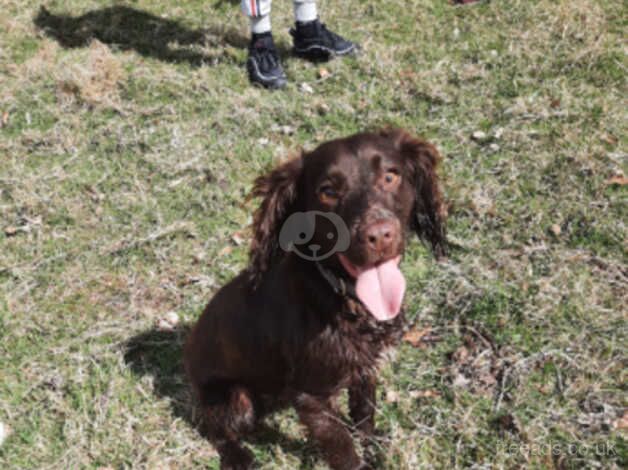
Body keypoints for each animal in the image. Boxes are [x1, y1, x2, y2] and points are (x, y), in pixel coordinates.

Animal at [183, 129, 446, 470]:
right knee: (216, 429)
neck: (343, 299)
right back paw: (241, 457)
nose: (379, 235)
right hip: (234, 399)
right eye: (328, 191)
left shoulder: (364, 369)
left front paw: (374, 449)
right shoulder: (312, 397)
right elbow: (342, 447)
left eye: (390, 176)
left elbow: (364, 414)